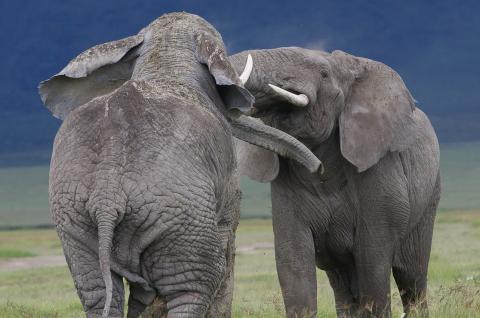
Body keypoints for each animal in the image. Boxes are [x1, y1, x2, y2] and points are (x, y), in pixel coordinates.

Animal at [38, 14, 322, 318]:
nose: (319, 168)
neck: (166, 61)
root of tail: (107, 195)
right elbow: (227, 236)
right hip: (180, 214)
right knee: (194, 286)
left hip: (76, 219)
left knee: (98, 292)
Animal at [231, 47, 440, 318]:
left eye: (324, 73)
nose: (317, 166)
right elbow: (293, 258)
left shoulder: (379, 170)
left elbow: (373, 257)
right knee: (342, 282)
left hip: (430, 196)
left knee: (412, 275)